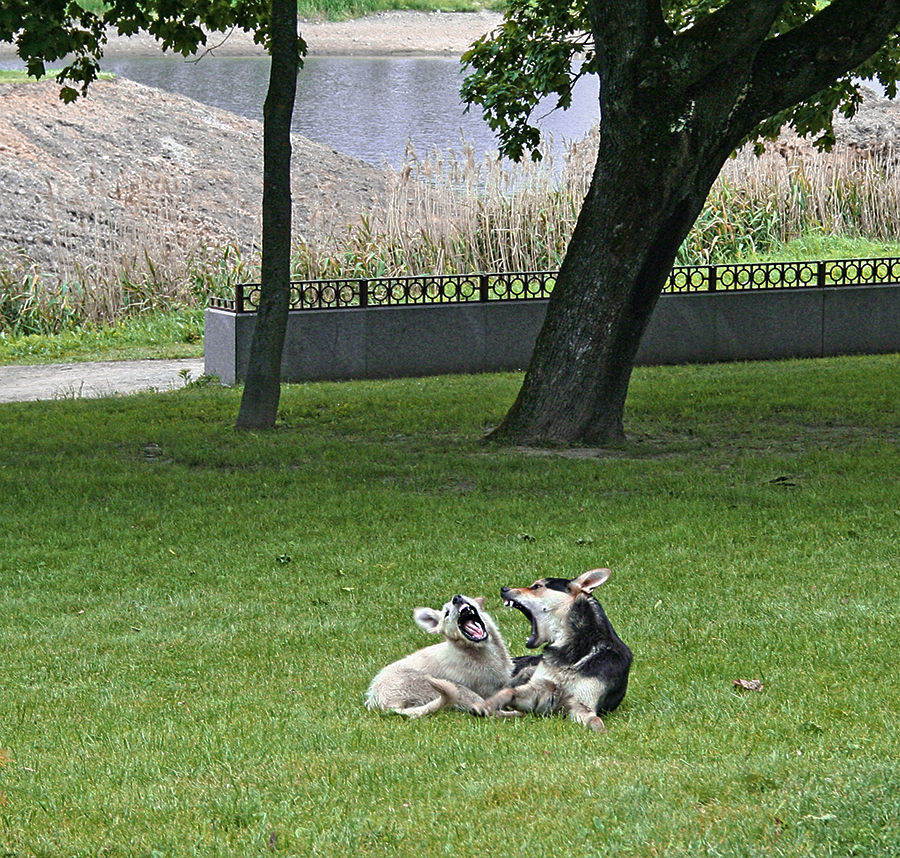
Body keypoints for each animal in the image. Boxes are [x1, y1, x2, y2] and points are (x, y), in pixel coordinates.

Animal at [474, 568, 628, 728]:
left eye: (536, 586)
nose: (504, 589)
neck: (571, 648)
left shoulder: (581, 706)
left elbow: (596, 721)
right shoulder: (539, 692)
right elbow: (509, 692)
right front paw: (487, 705)